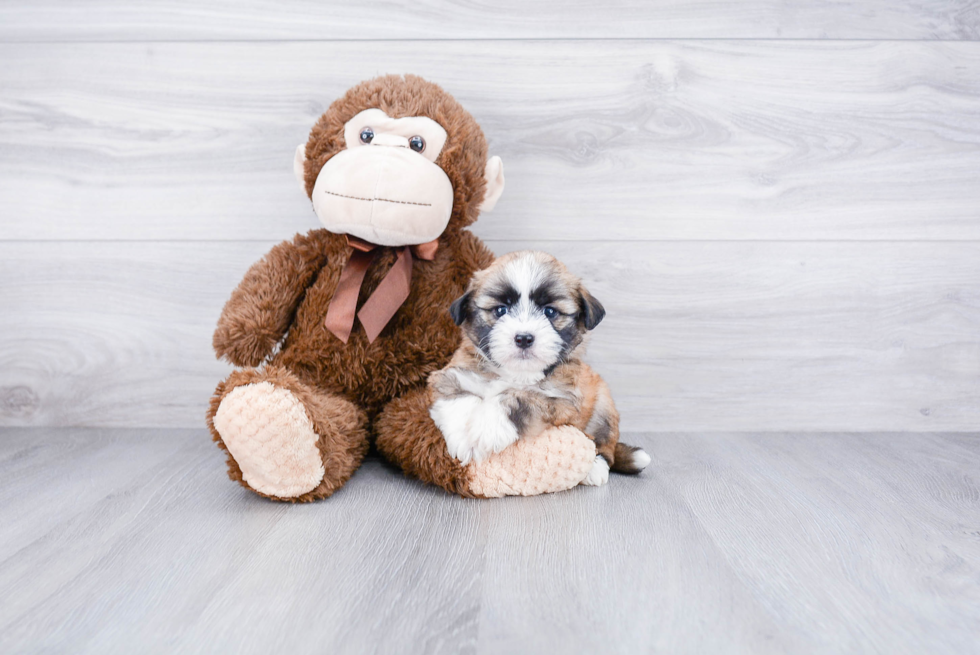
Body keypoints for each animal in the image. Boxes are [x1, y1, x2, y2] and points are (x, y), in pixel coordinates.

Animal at [428, 251, 652, 486]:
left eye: (550, 311)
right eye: (500, 310)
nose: (524, 338)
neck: (516, 373)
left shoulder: (562, 401)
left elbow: (521, 398)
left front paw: (487, 427)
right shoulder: (450, 374)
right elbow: (457, 396)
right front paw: (463, 437)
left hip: (603, 405)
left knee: (603, 443)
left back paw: (596, 467)